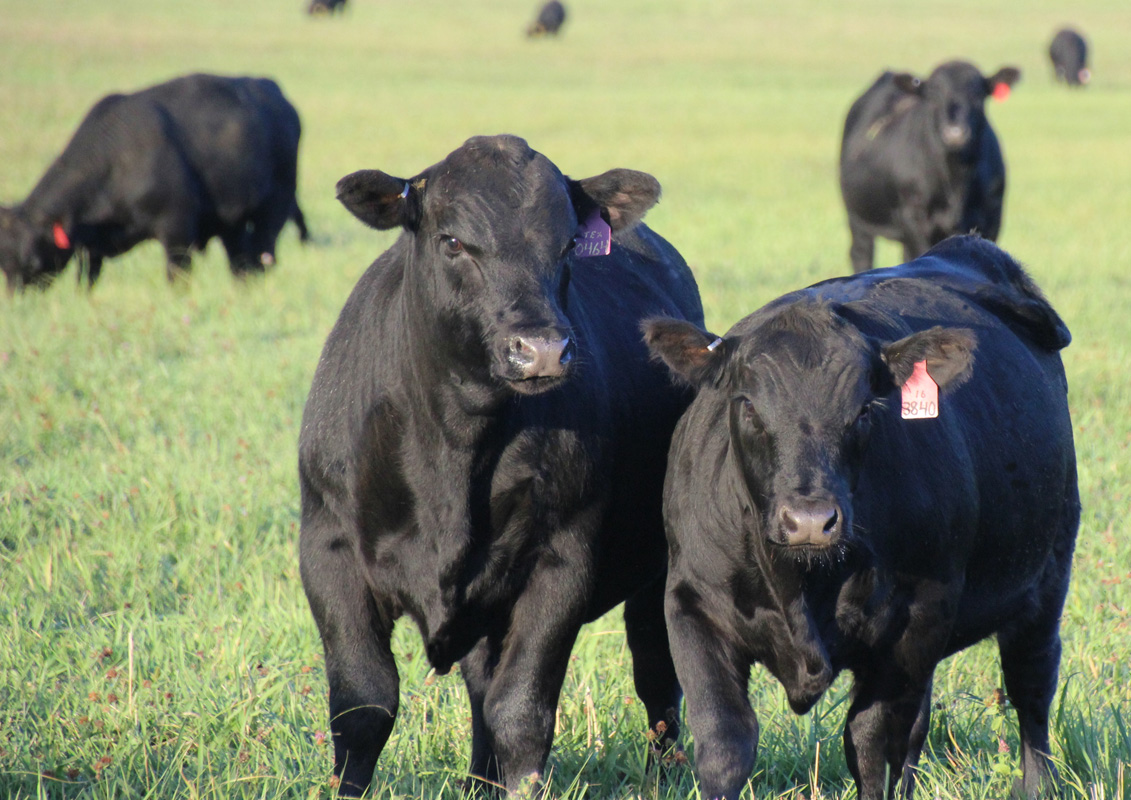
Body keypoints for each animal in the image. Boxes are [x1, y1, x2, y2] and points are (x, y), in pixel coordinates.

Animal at [0, 73, 308, 292]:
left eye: (32, 261)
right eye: (3, 262)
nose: (19, 299)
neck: (115, 160)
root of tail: (273, 91)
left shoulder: (176, 228)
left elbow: (177, 273)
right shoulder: (89, 246)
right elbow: (87, 278)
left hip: (273, 209)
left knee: (262, 253)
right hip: (232, 222)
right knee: (240, 260)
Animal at [298, 134, 703, 796]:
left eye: (567, 245)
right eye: (453, 241)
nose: (541, 350)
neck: (453, 450)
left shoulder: (561, 559)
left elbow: (521, 711)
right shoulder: (328, 550)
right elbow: (363, 705)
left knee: (656, 672)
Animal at [643, 236, 1079, 800]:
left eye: (866, 410)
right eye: (748, 406)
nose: (810, 520)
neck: (800, 583)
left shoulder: (917, 617)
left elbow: (871, 745)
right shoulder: (691, 602)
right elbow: (724, 741)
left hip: (1047, 574)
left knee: (1031, 688)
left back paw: (1038, 784)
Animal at [839, 61, 1020, 273]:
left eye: (978, 94)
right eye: (933, 94)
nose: (954, 133)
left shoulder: (992, 216)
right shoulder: (913, 217)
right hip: (857, 217)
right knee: (861, 254)